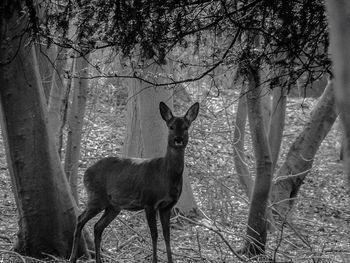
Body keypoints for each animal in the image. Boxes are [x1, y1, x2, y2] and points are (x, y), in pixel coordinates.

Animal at [69, 102, 200, 263]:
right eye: (171, 127)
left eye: (186, 127)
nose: (178, 139)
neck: (166, 176)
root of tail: (86, 172)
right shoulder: (149, 202)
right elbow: (154, 234)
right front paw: (154, 260)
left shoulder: (167, 206)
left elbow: (167, 236)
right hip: (96, 196)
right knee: (80, 219)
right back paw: (72, 258)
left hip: (113, 206)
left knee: (98, 227)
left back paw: (98, 259)